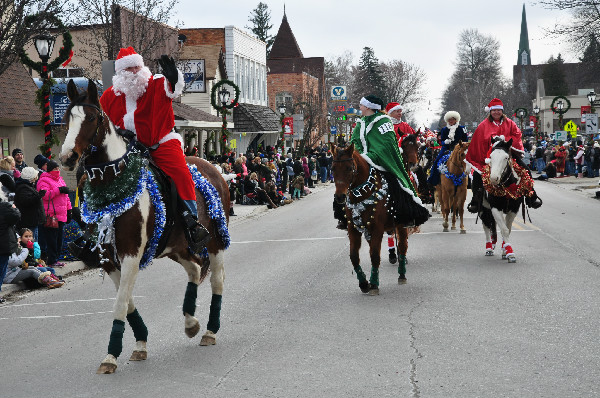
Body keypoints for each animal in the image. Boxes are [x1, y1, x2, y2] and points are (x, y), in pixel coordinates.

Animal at [59, 80, 230, 374]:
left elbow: (120, 303)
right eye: (67, 117)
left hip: (215, 240)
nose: (68, 157)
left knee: (216, 280)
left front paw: (111, 356)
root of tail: (212, 168)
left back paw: (210, 330)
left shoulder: (130, 253)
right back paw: (190, 323)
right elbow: (126, 301)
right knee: (195, 270)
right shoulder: (109, 258)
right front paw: (139, 343)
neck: (113, 191)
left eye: (91, 118)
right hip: (176, 247)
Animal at [330, 142, 410, 292]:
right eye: (332, 168)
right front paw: (363, 283)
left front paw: (373, 284)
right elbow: (354, 256)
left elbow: (374, 255)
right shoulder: (353, 228)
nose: (340, 197)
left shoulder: (377, 228)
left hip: (401, 224)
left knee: (403, 246)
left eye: (349, 168)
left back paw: (402, 274)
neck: (362, 195)